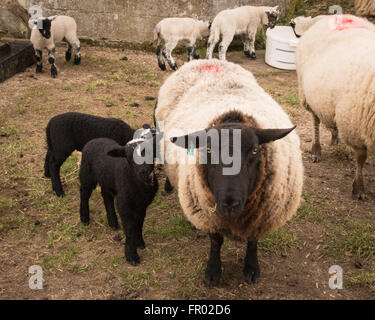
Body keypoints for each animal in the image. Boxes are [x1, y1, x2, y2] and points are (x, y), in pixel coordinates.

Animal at [296, 15, 375, 200]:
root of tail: (325, 18)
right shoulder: (355, 127)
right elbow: (361, 157)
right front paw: (358, 188)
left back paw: (334, 137)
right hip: (308, 95)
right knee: (315, 121)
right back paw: (316, 150)